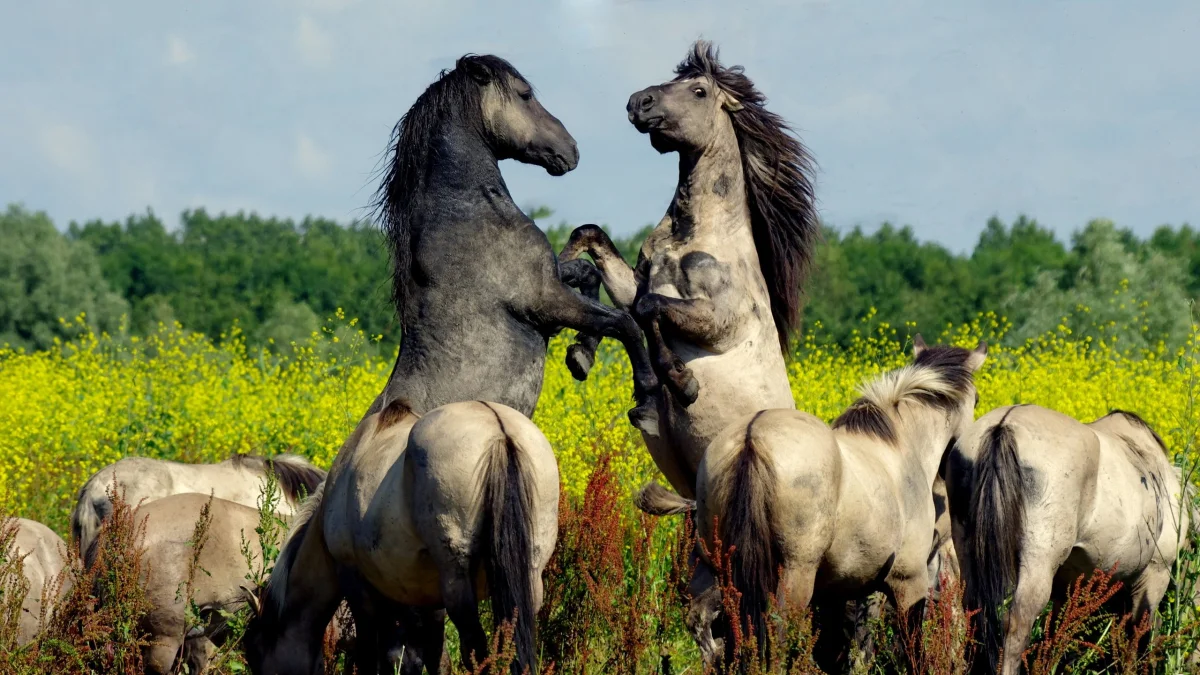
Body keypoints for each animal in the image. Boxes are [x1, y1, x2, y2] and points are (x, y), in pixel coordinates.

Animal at [243, 398, 559, 675]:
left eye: (255, 652)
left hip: (458, 585)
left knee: (476, 653)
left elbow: (372, 653)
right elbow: (433, 657)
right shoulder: (429, 600)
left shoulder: (357, 582)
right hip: (527, 584)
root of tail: (498, 429)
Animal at [365, 52, 658, 424]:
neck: (466, 213)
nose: (571, 149)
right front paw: (647, 397)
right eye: (525, 95)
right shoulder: (545, 299)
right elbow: (624, 322)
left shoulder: (551, 278)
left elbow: (587, 273)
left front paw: (581, 355)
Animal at [559, 40, 818, 507]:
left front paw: (681, 383)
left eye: (698, 91)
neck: (696, 234)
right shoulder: (637, 281)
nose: (637, 103)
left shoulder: (720, 320)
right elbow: (592, 243)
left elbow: (649, 308)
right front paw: (581, 352)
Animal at [679, 336, 986, 670]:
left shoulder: (837, 592)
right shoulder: (908, 580)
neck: (902, 446)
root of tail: (751, 437)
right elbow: (911, 647)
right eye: (977, 399)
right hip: (794, 577)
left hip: (723, 571)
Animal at [944, 406, 1188, 675]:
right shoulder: (1156, 573)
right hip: (1038, 561)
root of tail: (1003, 426)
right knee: (1016, 623)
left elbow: (1056, 634)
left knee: (974, 614)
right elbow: (1138, 635)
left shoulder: (1067, 587)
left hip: (968, 553)